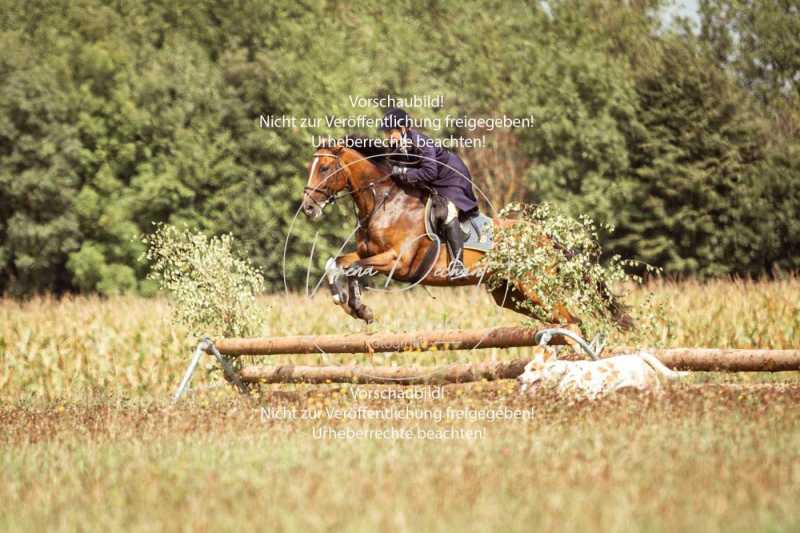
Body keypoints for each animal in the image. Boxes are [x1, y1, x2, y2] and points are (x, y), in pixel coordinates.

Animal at [296, 137, 628, 334]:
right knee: (563, 319)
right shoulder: (367, 254)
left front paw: (353, 304)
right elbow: (337, 263)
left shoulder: (397, 262)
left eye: (324, 167)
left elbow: (350, 267)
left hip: (534, 287)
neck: (384, 203)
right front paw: (355, 307)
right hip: (511, 294)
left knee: (570, 319)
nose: (308, 207)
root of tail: (544, 236)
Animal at [520, 344, 688, 400]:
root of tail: (639, 357)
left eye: (534, 369)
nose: (518, 378)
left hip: (653, 389)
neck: (563, 375)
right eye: (524, 369)